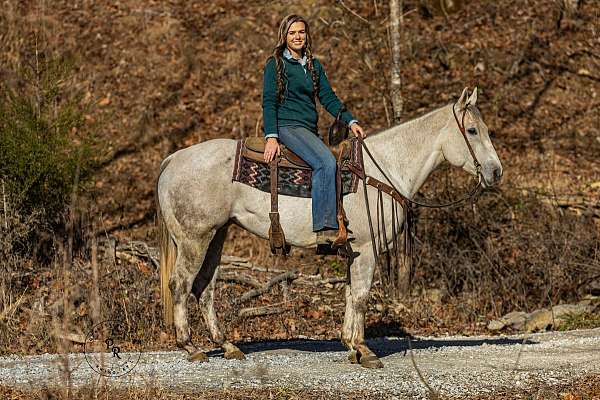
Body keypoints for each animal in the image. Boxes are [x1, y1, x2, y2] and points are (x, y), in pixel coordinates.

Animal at [157, 87, 504, 368]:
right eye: (472, 130)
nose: (496, 172)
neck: (384, 169)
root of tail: (173, 159)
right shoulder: (367, 248)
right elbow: (361, 296)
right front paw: (365, 351)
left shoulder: (353, 251)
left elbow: (350, 293)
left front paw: (351, 346)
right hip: (194, 238)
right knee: (181, 284)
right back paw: (191, 347)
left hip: (217, 235)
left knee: (205, 287)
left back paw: (227, 346)